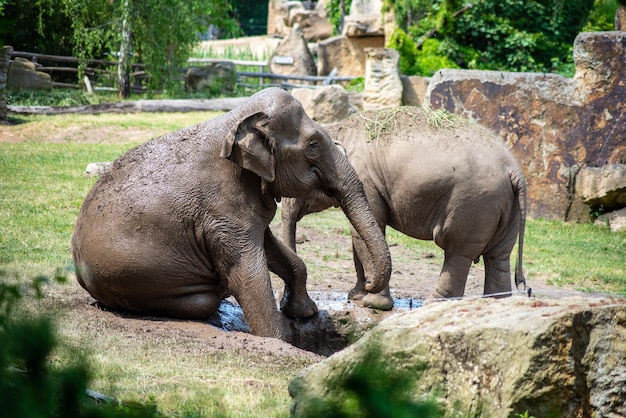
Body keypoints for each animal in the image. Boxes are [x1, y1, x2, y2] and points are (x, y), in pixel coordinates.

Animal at [72, 87, 390, 342]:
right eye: (313, 145)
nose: (366, 287)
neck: (235, 119)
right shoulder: (222, 206)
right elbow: (247, 273)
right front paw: (281, 339)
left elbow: (274, 249)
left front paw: (304, 313)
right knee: (204, 301)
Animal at [280, 107, 524, 310]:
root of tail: (514, 170)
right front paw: (356, 296)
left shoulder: (365, 181)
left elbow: (362, 232)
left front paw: (371, 302)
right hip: (506, 208)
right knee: (498, 256)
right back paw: (497, 305)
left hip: (473, 206)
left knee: (458, 253)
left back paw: (432, 305)